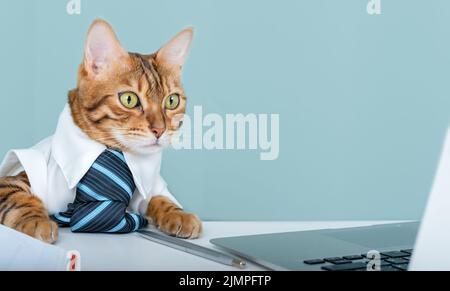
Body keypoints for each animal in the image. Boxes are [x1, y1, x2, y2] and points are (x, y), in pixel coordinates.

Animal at [0, 19, 202, 244]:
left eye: (172, 101)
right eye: (129, 99)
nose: (160, 129)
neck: (111, 149)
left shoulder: (148, 189)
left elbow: (159, 197)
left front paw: (178, 213)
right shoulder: (12, 179)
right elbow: (18, 197)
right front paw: (35, 220)